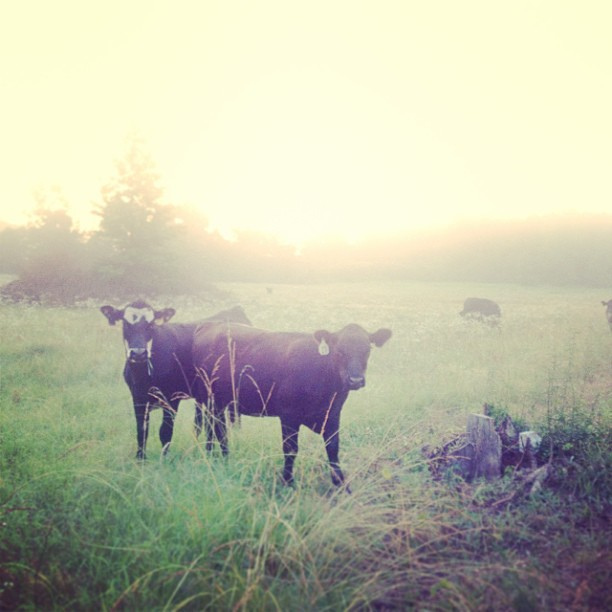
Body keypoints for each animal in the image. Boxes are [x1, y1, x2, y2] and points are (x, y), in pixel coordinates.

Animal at [100, 302, 251, 460]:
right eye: (125, 323)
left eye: (151, 325)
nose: (138, 353)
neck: (143, 376)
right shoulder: (137, 398)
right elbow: (142, 431)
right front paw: (140, 459)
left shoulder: (171, 398)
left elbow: (165, 431)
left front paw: (164, 459)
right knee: (203, 422)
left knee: (232, 419)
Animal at [192, 320, 392, 488]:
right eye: (339, 351)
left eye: (367, 350)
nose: (355, 380)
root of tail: (211, 325)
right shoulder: (288, 415)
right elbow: (290, 449)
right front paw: (288, 482)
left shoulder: (332, 414)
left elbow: (333, 447)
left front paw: (340, 485)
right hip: (212, 399)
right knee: (219, 430)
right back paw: (224, 459)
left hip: (214, 402)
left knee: (211, 428)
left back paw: (212, 456)